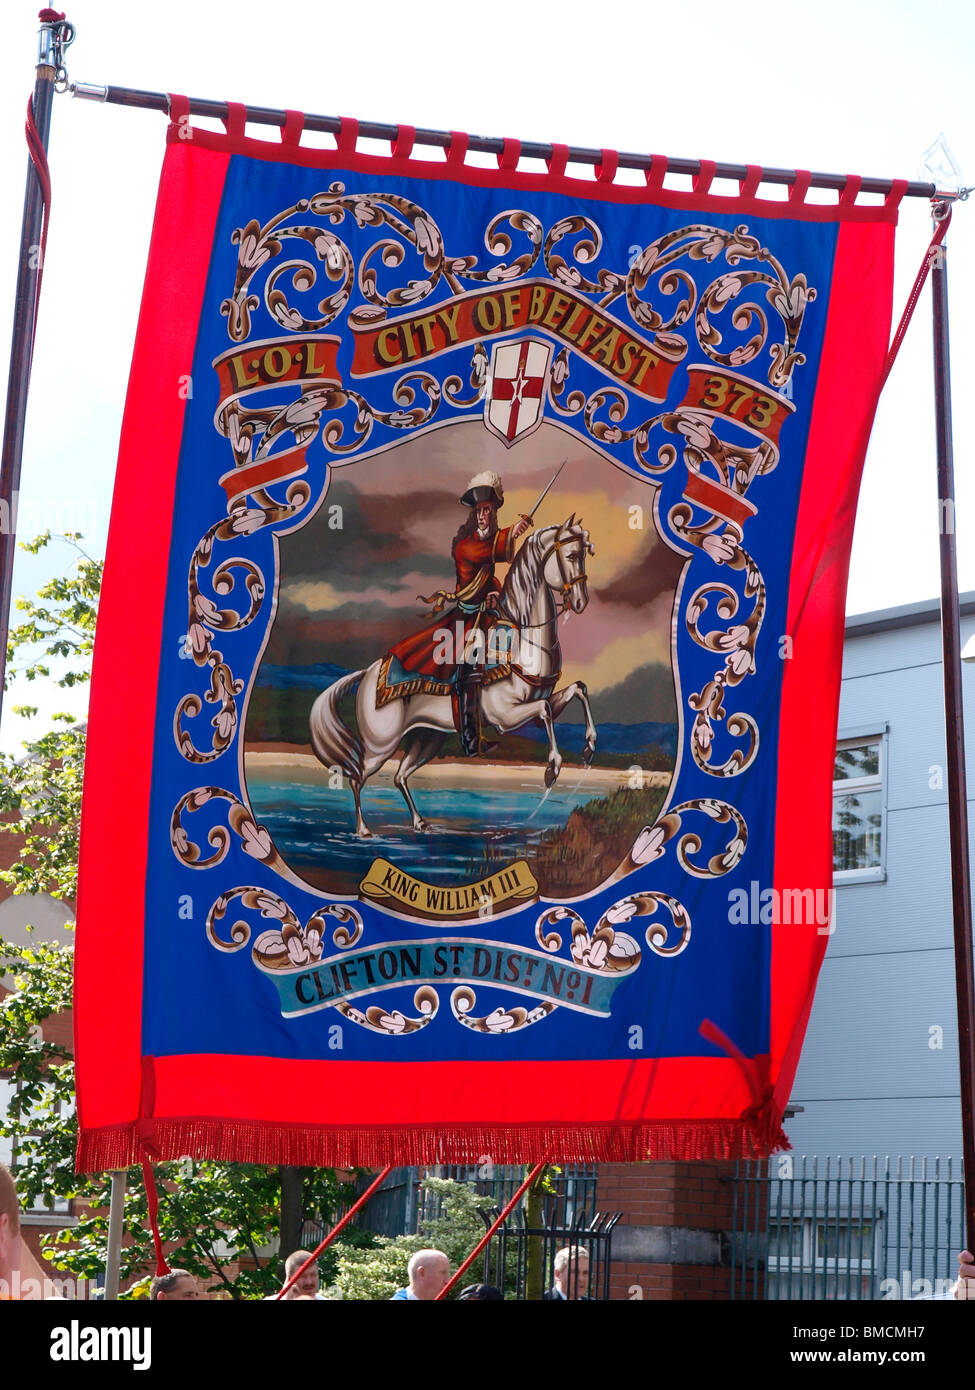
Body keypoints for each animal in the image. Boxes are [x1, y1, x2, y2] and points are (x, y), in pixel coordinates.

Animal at [307, 514, 598, 828]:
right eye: (571, 555)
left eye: (585, 554)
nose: (581, 602)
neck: (524, 638)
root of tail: (368, 674)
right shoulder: (505, 716)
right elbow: (545, 710)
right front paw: (552, 768)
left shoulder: (539, 701)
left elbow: (577, 689)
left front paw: (590, 745)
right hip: (380, 745)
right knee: (357, 777)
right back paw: (363, 829)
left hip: (427, 739)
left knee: (399, 776)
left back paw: (419, 822)